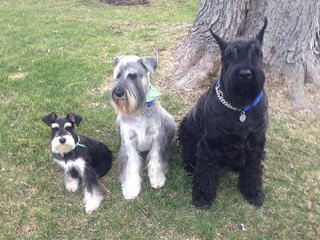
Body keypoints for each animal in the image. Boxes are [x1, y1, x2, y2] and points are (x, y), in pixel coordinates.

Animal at [109, 55, 175, 200]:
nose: (118, 92)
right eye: (117, 75)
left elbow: (156, 160)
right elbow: (130, 167)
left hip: (169, 120)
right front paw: (131, 189)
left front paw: (157, 179)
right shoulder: (128, 142)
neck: (139, 111)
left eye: (132, 75)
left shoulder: (157, 138)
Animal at [179, 18, 268, 207]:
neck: (240, 107)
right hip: (187, 130)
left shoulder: (256, 142)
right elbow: (206, 171)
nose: (245, 74)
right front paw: (202, 196)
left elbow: (253, 169)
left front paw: (253, 192)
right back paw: (190, 166)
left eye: (257, 52)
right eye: (229, 54)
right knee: (189, 152)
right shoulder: (210, 143)